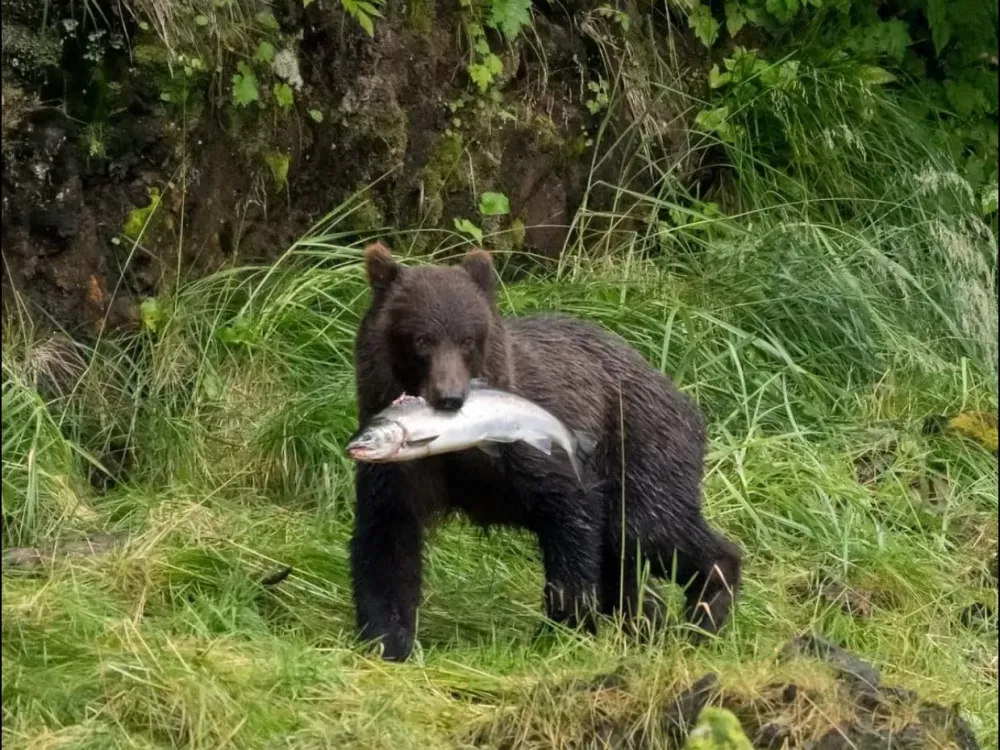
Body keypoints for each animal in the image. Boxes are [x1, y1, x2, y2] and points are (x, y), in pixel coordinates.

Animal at [350, 242, 742, 661]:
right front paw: (388, 638)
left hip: (642, 444)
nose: (450, 396)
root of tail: (683, 397)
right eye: (421, 340)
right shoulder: (404, 469)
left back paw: (706, 607)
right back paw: (649, 621)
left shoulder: (532, 446)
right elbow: (387, 540)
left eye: (468, 339)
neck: (460, 447)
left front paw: (563, 626)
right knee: (626, 559)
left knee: (648, 528)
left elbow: (571, 513)